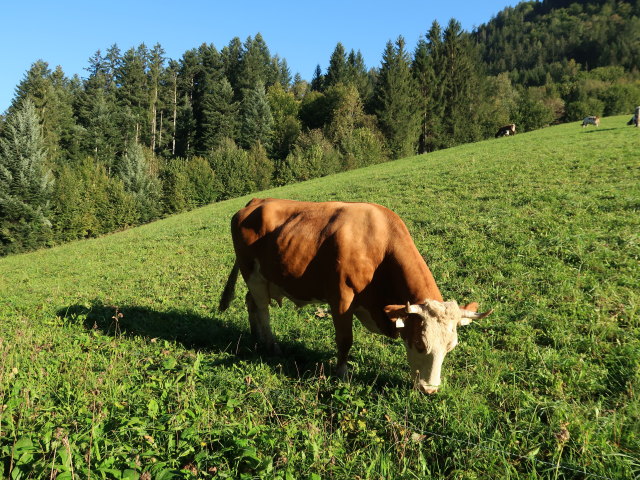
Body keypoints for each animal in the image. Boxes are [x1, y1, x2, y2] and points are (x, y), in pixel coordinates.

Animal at [218, 198, 492, 394]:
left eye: (451, 346)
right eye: (420, 344)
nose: (429, 390)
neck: (378, 247)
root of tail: (255, 202)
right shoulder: (341, 299)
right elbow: (345, 339)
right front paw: (342, 372)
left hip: (263, 279)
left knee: (251, 303)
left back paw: (256, 337)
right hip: (253, 274)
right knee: (263, 310)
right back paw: (271, 345)